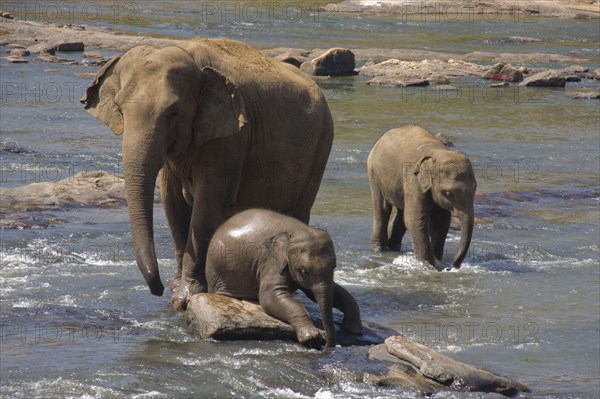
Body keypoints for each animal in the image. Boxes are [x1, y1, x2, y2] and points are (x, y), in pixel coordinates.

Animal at [80, 39, 336, 310]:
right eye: (119, 108)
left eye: (173, 112)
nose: (158, 289)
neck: (190, 55)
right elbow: (173, 204)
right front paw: (176, 290)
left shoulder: (231, 136)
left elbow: (207, 203)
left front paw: (183, 298)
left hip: (321, 147)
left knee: (296, 212)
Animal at [366, 125, 478, 272]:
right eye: (448, 194)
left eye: (475, 189)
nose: (453, 265)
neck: (438, 153)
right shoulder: (413, 180)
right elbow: (416, 219)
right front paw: (432, 265)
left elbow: (442, 221)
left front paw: (438, 261)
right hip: (374, 173)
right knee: (383, 209)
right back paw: (378, 249)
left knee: (402, 213)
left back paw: (393, 247)